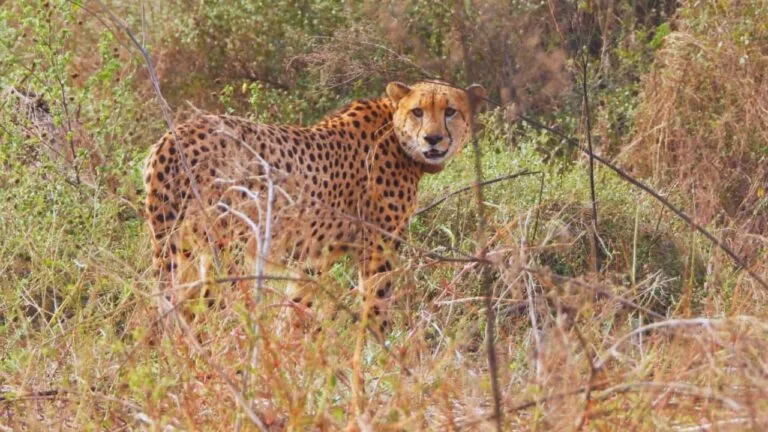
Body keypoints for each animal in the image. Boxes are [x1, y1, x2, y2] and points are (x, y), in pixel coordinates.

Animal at [144, 80, 487, 335]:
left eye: (450, 111)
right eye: (417, 111)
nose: (433, 139)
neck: (395, 132)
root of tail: (175, 135)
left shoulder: (313, 257)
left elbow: (297, 305)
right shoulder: (377, 247)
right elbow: (376, 303)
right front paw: (382, 353)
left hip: (181, 248)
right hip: (228, 252)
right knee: (207, 309)